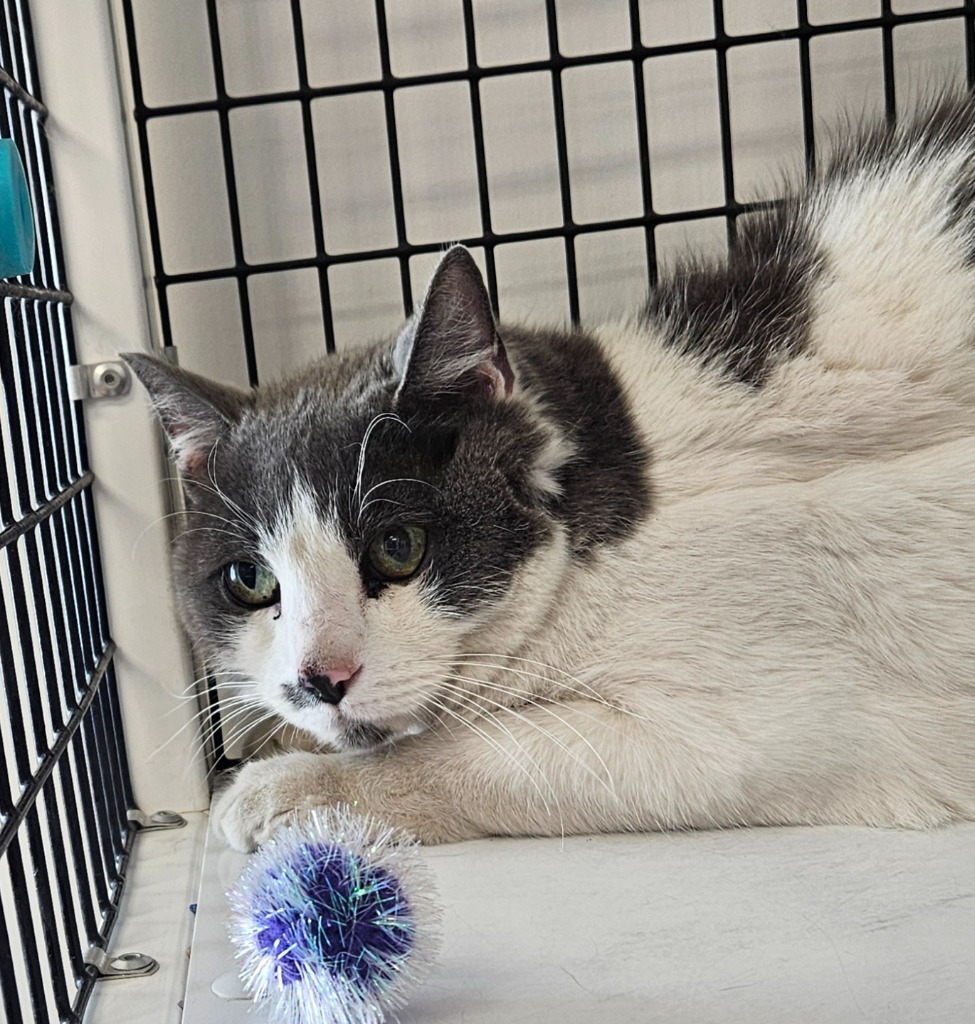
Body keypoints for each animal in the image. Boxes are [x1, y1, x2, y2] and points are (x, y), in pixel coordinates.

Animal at [125, 96, 975, 851]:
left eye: (399, 548)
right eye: (249, 581)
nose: (320, 677)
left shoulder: (761, 727)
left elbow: (485, 756)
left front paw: (286, 785)